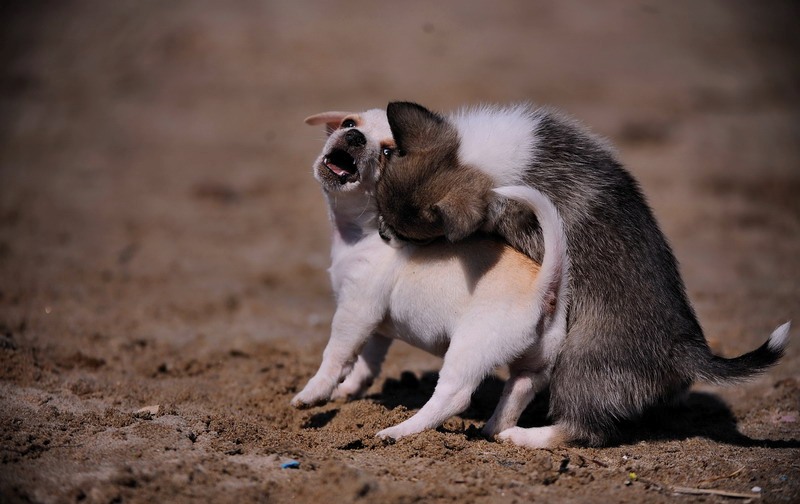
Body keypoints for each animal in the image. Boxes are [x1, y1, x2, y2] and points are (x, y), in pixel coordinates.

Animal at [290, 108, 572, 440]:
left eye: (387, 152)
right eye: (349, 123)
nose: (354, 136)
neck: (361, 234)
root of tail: (545, 288)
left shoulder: (354, 313)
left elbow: (335, 356)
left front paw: (313, 394)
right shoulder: (375, 326)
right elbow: (366, 363)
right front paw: (347, 391)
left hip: (468, 350)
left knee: (454, 396)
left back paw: (399, 431)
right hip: (533, 366)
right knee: (518, 392)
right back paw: (491, 431)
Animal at [376, 100, 788, 446]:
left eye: (416, 239)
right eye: (380, 207)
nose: (382, 234)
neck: (477, 158)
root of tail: (686, 346)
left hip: (576, 361)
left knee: (582, 429)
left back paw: (523, 436)